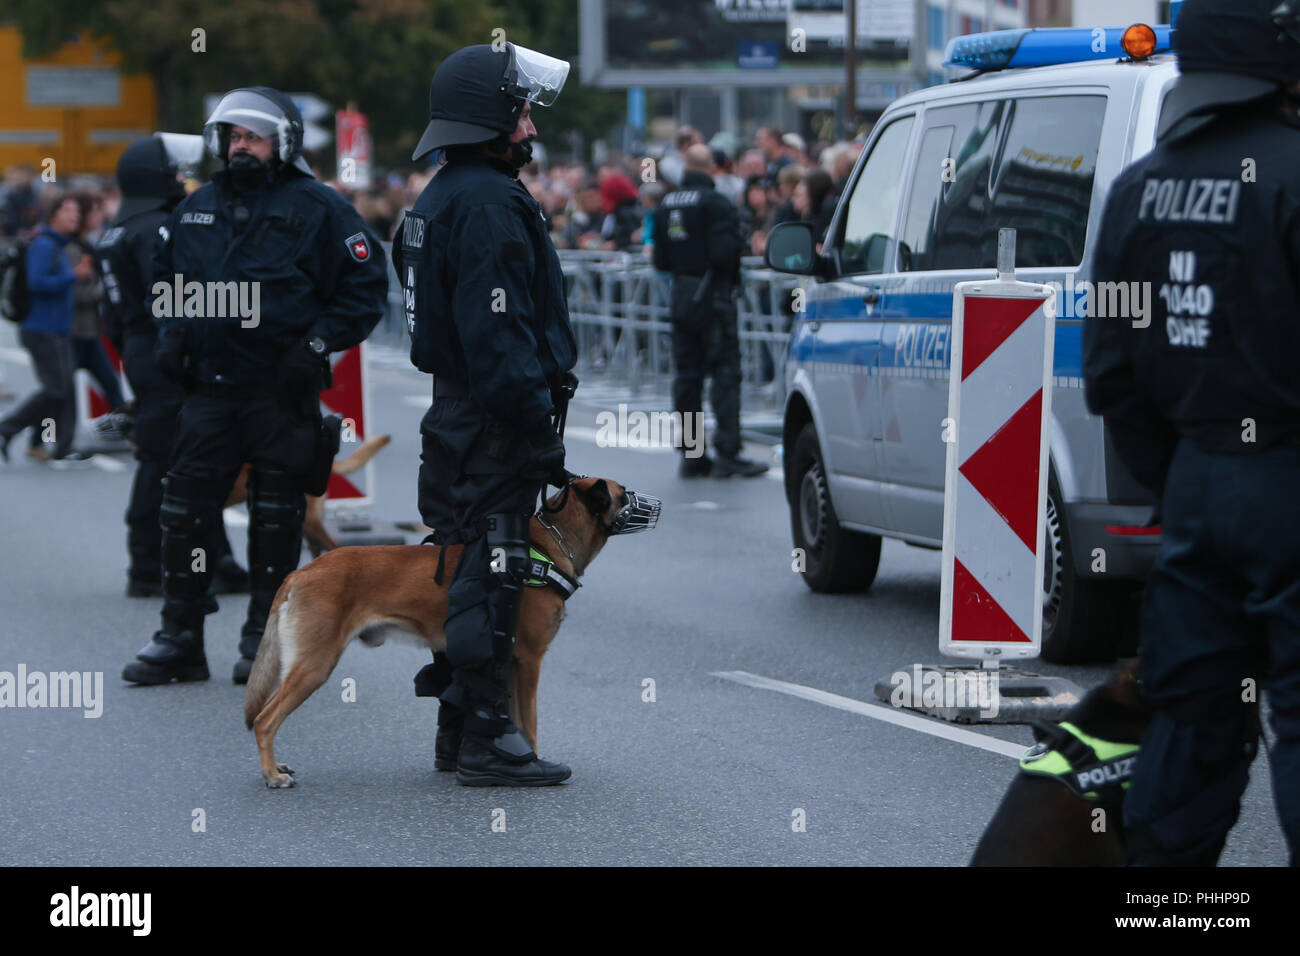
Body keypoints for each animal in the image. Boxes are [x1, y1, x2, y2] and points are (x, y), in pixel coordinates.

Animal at [244, 476, 660, 790]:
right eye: (624, 492)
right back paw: (271, 774)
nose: (654, 507)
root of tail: (300, 572)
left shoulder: (509, 664)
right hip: (315, 664)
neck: (546, 547)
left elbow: (512, 717)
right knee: (264, 719)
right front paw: (534, 762)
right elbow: (529, 721)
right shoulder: (529, 661)